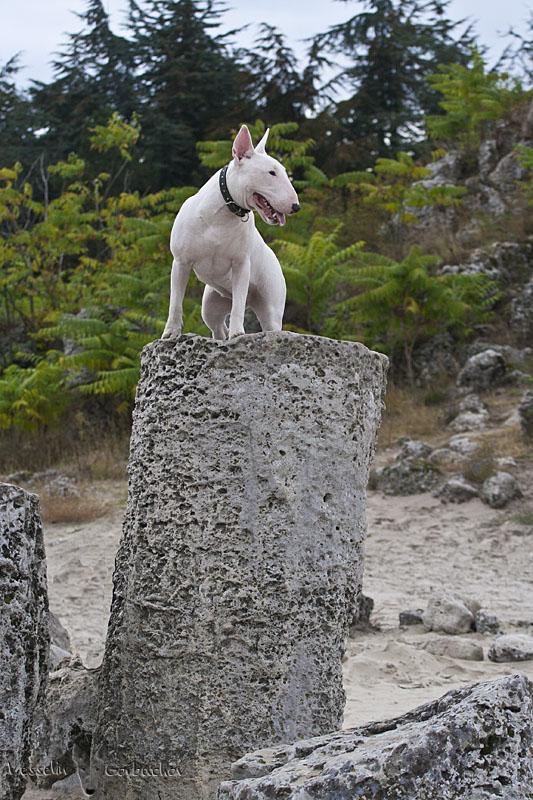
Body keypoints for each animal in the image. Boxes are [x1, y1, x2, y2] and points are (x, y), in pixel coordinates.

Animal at [162, 125, 300, 341]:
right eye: (271, 172)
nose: (296, 206)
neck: (223, 214)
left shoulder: (241, 264)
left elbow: (238, 305)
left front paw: (238, 333)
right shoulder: (180, 262)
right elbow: (176, 301)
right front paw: (170, 332)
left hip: (270, 307)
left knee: (259, 319)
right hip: (211, 305)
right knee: (217, 327)